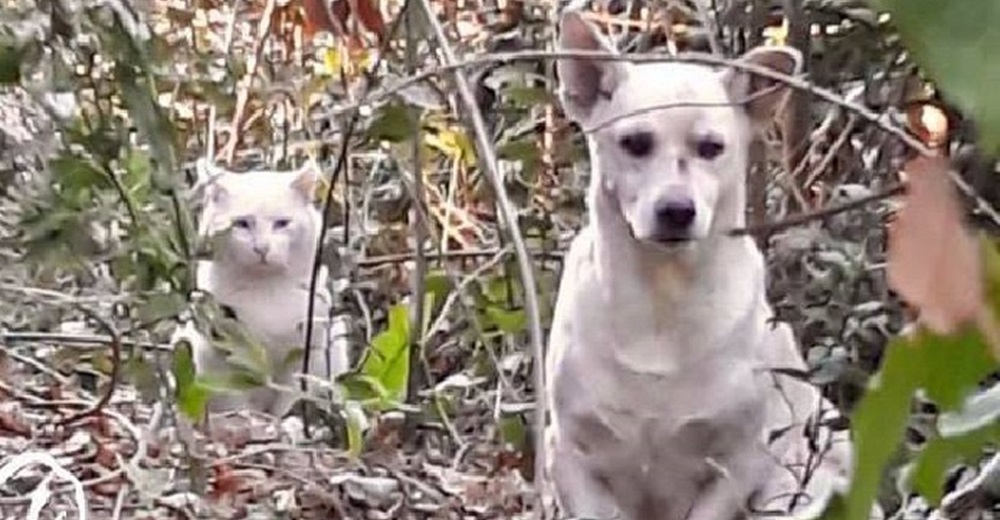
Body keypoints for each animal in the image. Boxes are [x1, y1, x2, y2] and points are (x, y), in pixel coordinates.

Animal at [175, 158, 352, 418]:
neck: (266, 291)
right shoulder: (223, 356)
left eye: (281, 224)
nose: (262, 248)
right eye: (241, 224)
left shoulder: (305, 356)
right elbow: (236, 400)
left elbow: (290, 398)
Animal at [544, 11, 856, 520]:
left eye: (711, 147)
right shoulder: (569, 455)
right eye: (634, 143)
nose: (676, 210)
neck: (662, 296)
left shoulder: (739, 462)